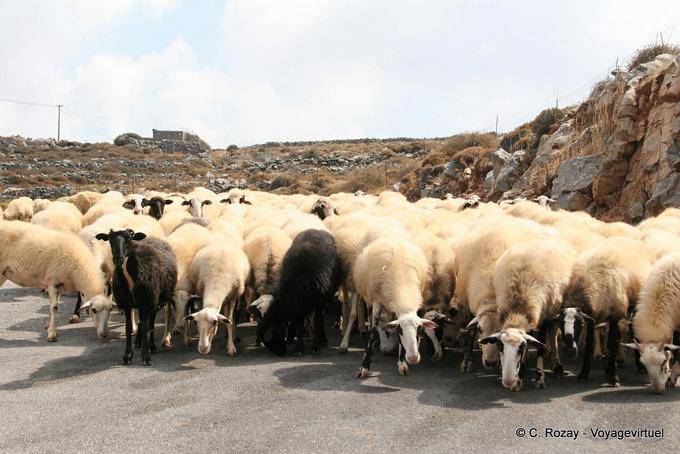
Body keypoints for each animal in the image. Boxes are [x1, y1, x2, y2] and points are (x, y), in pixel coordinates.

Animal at [93, 229, 177, 365]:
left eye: (128, 239)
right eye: (110, 240)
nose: (118, 258)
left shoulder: (146, 302)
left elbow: (146, 327)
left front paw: (146, 356)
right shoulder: (126, 304)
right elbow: (128, 328)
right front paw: (127, 356)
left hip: (154, 300)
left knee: (150, 323)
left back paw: (151, 346)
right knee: (143, 322)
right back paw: (139, 342)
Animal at [353, 238, 438, 377]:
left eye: (420, 330)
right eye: (401, 330)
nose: (413, 358)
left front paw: (402, 363)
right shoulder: (378, 301)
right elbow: (373, 332)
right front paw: (364, 367)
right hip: (368, 296)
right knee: (370, 318)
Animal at [480, 238, 575, 391]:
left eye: (520, 349)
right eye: (500, 347)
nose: (508, 381)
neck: (517, 310)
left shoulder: (544, 319)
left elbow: (540, 346)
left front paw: (539, 378)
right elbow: (530, 340)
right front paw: (519, 378)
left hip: (554, 311)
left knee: (553, 335)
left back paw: (557, 366)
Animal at [560, 236, 654, 386]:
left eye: (580, 324)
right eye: (560, 326)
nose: (570, 351)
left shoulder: (615, 315)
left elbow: (612, 343)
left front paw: (613, 378)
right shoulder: (592, 318)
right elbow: (590, 343)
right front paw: (584, 373)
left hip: (636, 304)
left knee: (633, 331)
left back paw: (639, 366)